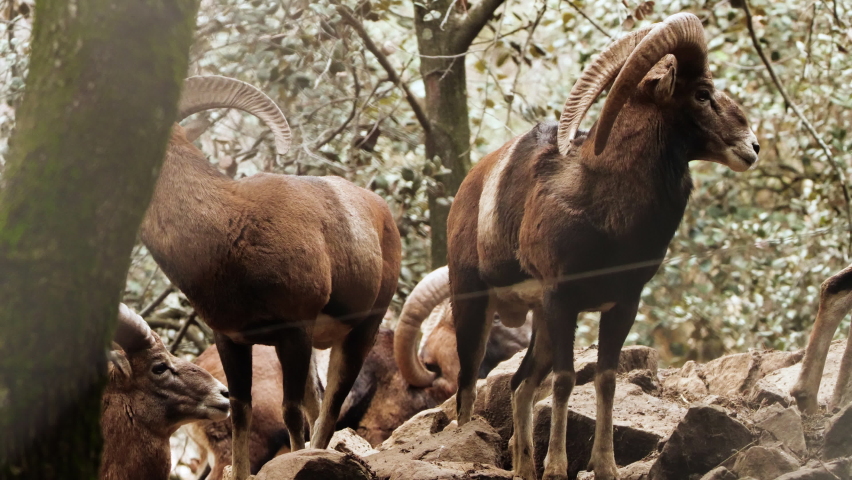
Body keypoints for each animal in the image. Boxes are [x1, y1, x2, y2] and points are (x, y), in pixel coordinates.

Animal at [139, 75, 402, 480]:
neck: (233, 231)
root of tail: (382, 212)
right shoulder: (231, 339)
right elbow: (240, 411)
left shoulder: (294, 331)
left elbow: (291, 411)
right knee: (318, 403)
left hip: (359, 332)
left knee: (330, 405)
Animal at [446, 13, 759, 480]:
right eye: (702, 93)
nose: (752, 147)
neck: (603, 204)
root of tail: (467, 188)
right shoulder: (562, 301)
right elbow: (564, 380)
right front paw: (557, 469)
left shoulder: (621, 305)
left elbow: (606, 380)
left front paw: (606, 466)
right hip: (475, 308)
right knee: (467, 392)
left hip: (539, 323)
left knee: (521, 386)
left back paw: (524, 468)